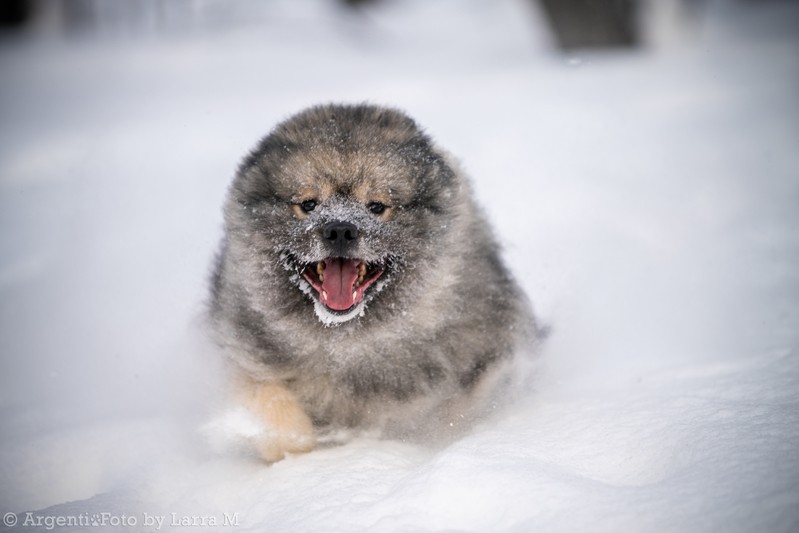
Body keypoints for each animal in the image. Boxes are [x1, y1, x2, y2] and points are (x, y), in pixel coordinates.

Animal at [209, 104, 540, 462]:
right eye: (308, 204)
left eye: (377, 206)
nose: (340, 229)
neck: (345, 342)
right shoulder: (244, 352)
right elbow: (270, 402)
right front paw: (297, 447)